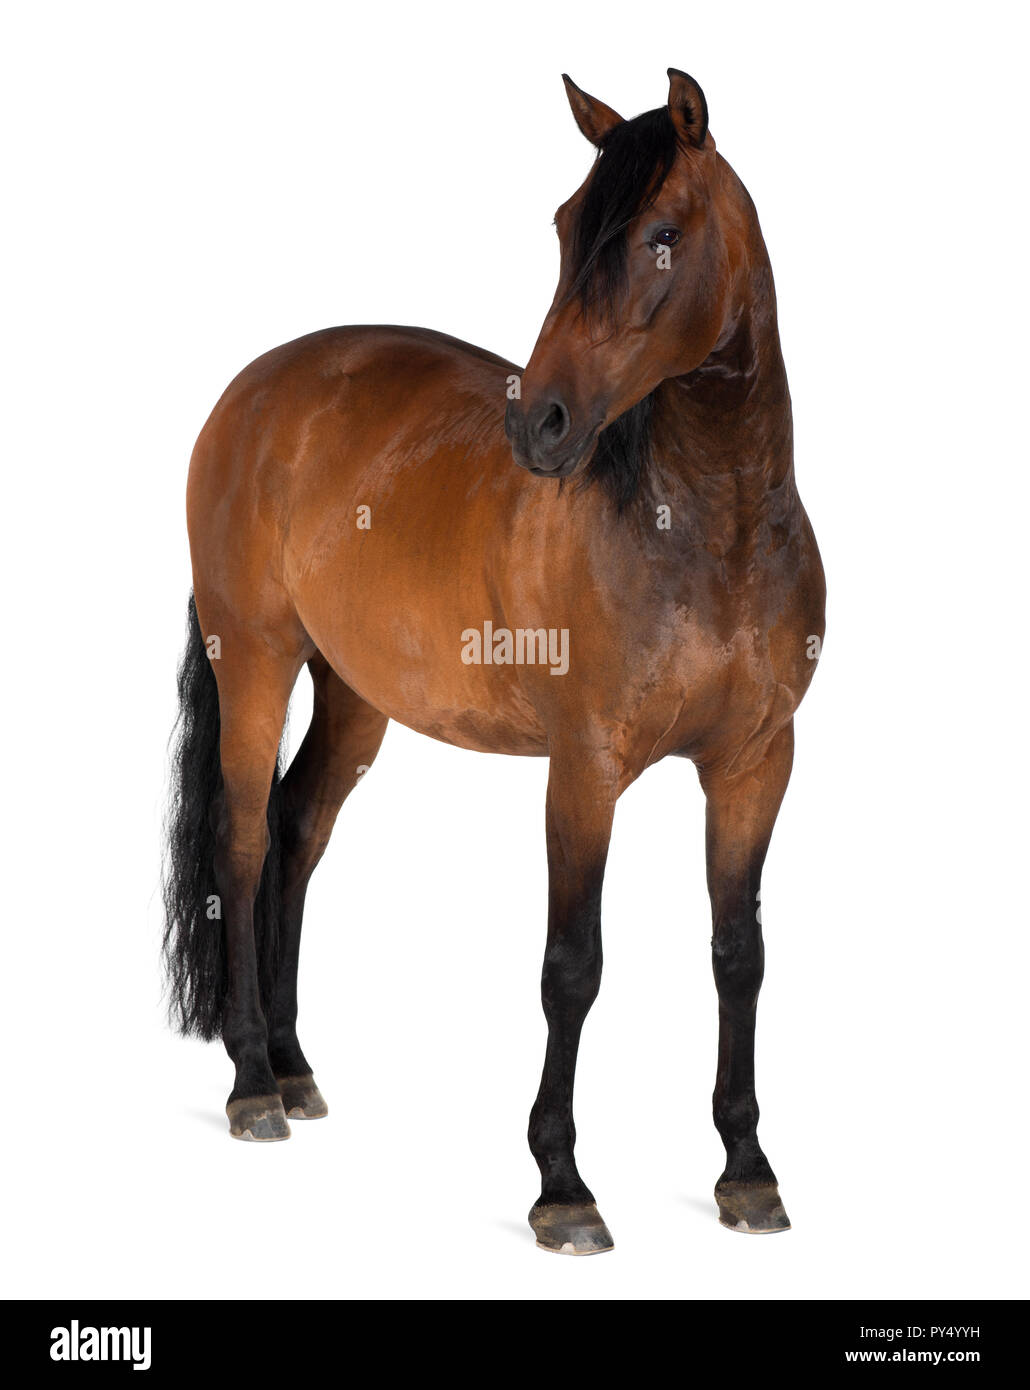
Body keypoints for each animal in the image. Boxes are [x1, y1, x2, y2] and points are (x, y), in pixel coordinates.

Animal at [164, 65, 822, 1256]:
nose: (542, 426)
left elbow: (737, 955)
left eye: (662, 234)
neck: (713, 532)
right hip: (257, 664)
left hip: (355, 695)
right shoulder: (586, 772)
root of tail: (256, 391)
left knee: (298, 830)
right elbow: (573, 966)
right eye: (566, 224)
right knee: (240, 841)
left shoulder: (757, 765)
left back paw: (293, 1065)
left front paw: (747, 1172)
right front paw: (562, 1186)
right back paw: (249, 1085)